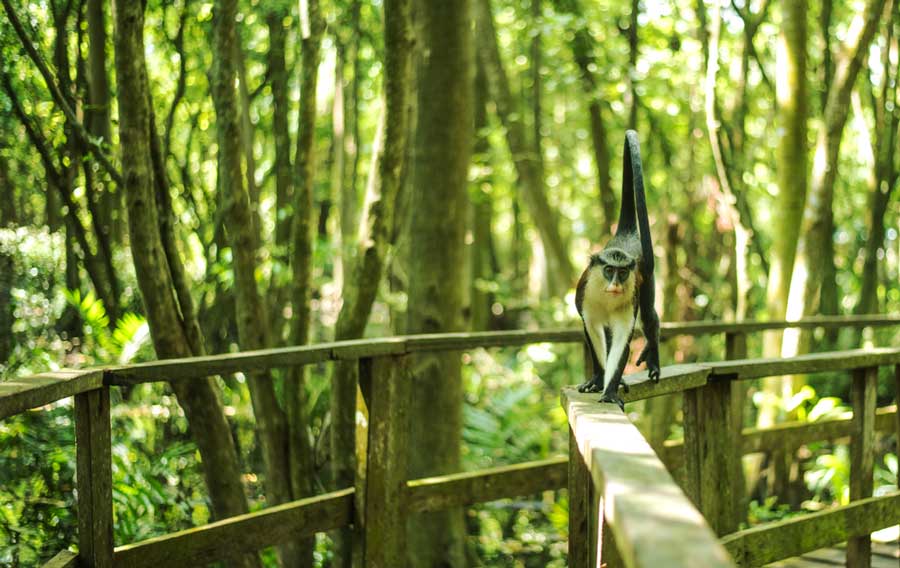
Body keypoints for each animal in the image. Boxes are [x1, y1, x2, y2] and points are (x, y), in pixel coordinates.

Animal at [575, 130, 661, 408]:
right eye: (609, 270)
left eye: (622, 272)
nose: (615, 285)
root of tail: (625, 232)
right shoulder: (584, 297)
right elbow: (592, 330)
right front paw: (599, 379)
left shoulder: (629, 298)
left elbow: (624, 337)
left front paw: (610, 390)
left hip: (647, 279)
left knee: (649, 316)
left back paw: (654, 359)